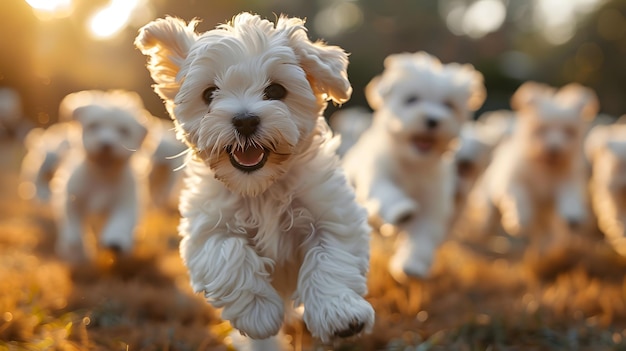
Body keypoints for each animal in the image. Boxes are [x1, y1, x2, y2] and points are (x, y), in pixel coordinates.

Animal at [134, 11, 372, 350]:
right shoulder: (206, 229)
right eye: (209, 94)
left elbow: (330, 258)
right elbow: (229, 252)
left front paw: (340, 314)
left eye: (276, 91)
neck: (262, 187)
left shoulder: (332, 214)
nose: (245, 120)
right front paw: (258, 314)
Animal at [342, 52, 482, 282]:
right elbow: (387, 191)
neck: (413, 163)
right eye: (412, 99)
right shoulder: (378, 175)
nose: (433, 120)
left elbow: (422, 236)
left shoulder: (432, 204)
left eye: (448, 105)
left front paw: (413, 265)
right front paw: (402, 211)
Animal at [468, 82, 596, 252]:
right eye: (542, 129)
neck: (545, 167)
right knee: (491, 215)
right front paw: (520, 220)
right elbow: (520, 197)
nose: (554, 149)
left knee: (545, 232)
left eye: (569, 131)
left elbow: (570, 195)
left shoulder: (566, 181)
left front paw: (572, 215)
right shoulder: (514, 181)